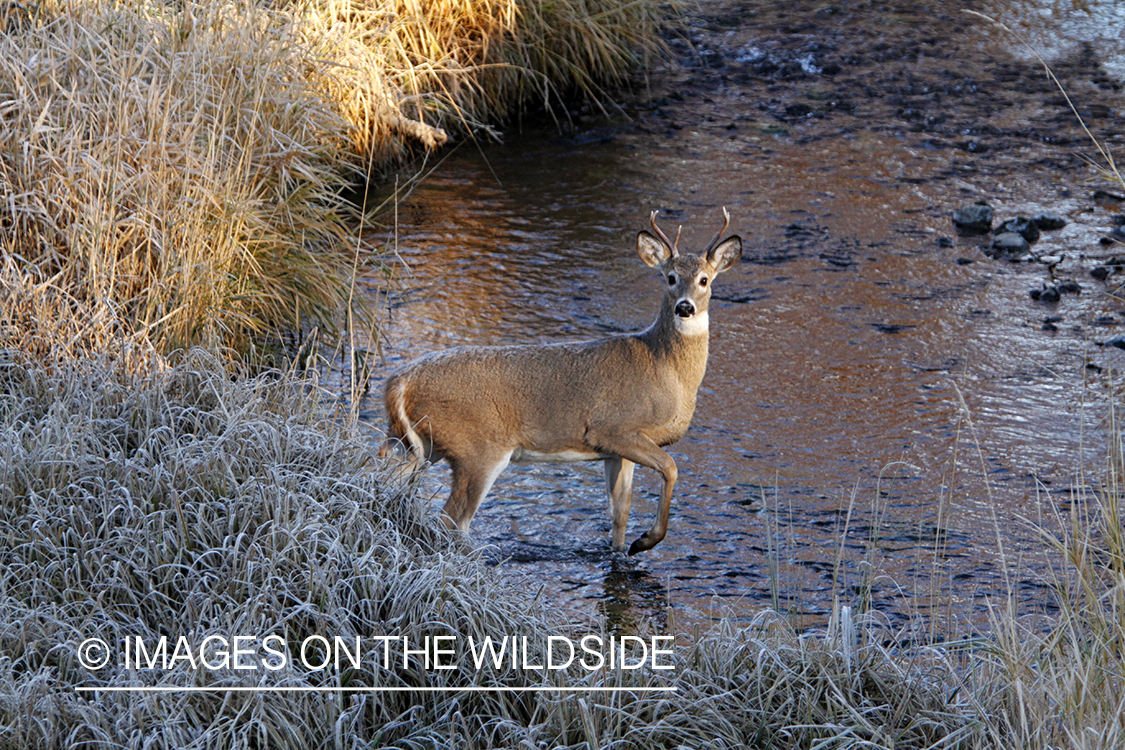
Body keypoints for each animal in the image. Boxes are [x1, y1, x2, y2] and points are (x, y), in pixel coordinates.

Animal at [382, 208, 742, 555]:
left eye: (704, 280)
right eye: (670, 278)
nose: (685, 307)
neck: (665, 369)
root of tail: (399, 383)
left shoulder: (615, 452)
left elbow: (619, 514)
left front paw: (623, 549)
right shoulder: (613, 428)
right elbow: (670, 467)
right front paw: (646, 541)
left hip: (411, 446)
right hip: (476, 449)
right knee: (451, 520)